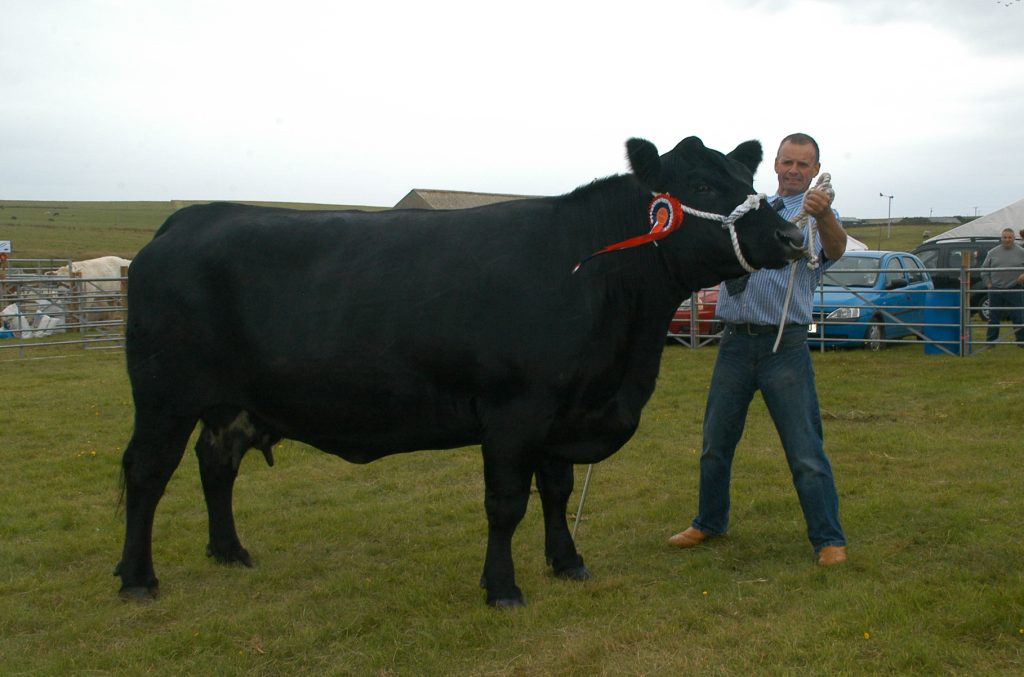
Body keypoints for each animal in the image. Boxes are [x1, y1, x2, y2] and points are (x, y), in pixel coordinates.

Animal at [117, 134, 806, 606]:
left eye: (748, 178)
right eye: (704, 187)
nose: (794, 239)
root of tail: (191, 217)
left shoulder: (562, 411)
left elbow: (557, 493)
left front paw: (568, 563)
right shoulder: (514, 410)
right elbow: (506, 503)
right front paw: (502, 588)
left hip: (227, 403)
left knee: (217, 464)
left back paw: (229, 552)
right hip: (164, 396)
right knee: (147, 473)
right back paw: (138, 578)